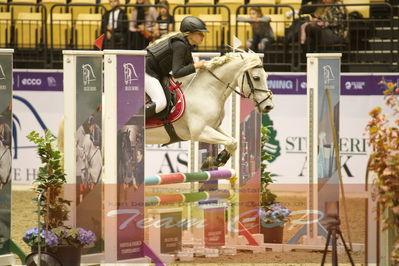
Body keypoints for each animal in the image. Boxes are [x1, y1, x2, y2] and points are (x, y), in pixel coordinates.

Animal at [147, 52, 276, 168]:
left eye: (266, 77)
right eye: (256, 78)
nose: (268, 106)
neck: (205, 90)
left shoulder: (213, 127)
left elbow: (233, 142)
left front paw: (218, 159)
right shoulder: (200, 132)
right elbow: (230, 142)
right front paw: (215, 161)